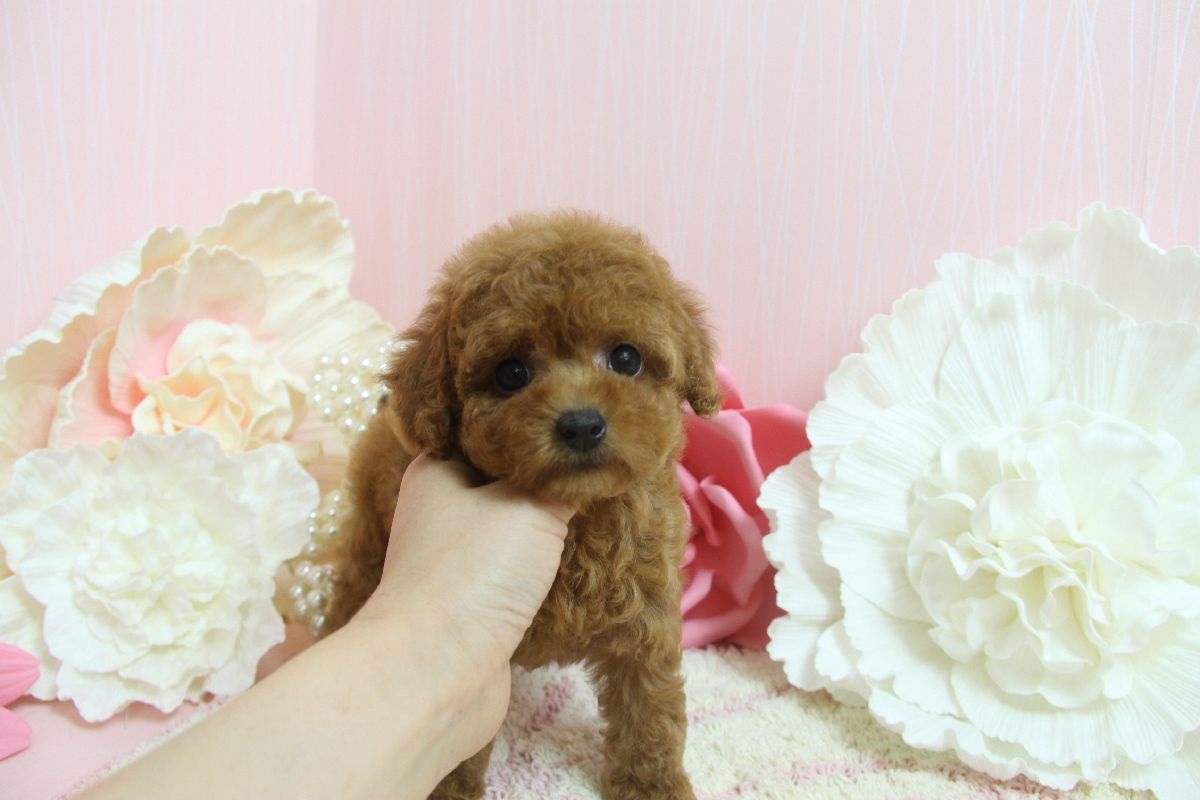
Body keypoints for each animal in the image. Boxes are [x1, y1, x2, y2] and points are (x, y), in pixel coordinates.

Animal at [325, 211, 720, 800]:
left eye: (626, 358)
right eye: (512, 373)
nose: (581, 424)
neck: (582, 517)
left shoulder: (646, 617)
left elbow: (649, 708)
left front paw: (652, 784)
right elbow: (458, 740)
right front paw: (449, 793)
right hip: (371, 540)